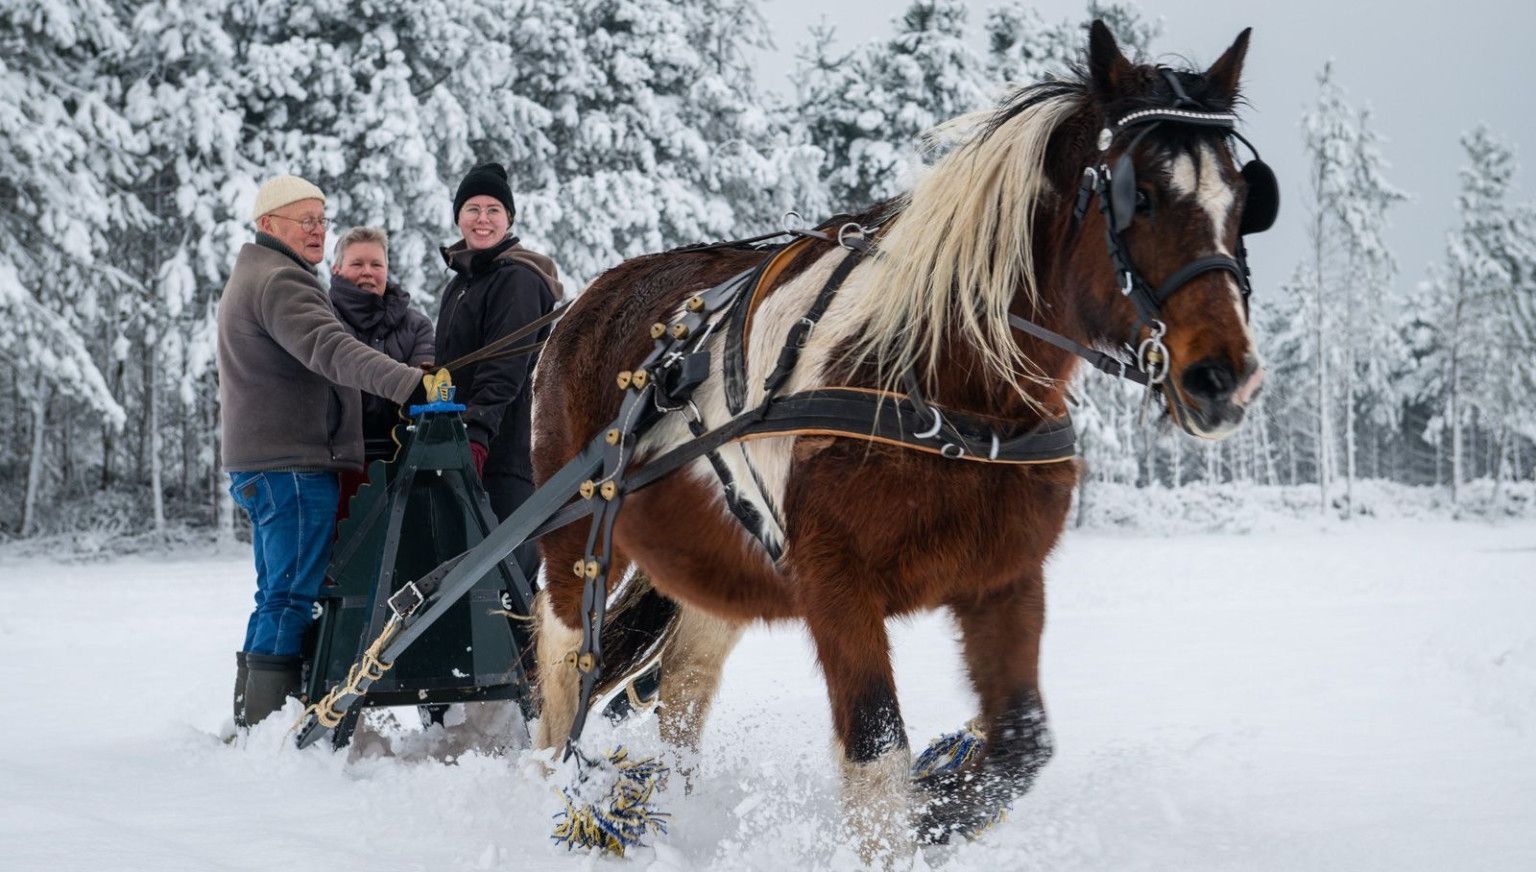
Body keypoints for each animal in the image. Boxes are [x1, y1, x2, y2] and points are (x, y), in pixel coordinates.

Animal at [522, 20, 1265, 865]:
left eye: (1244, 198)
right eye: (1138, 195)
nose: (1223, 376)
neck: (947, 389)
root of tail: (586, 298)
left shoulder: (1005, 579)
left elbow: (1020, 747)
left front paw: (944, 804)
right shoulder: (837, 587)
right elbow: (878, 756)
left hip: (716, 562)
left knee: (684, 681)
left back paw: (675, 811)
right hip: (577, 534)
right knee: (560, 669)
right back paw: (562, 794)